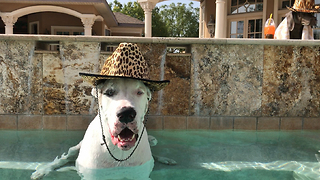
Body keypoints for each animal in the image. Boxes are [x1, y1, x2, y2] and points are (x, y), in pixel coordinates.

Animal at [31, 78, 175, 179]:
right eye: (109, 92)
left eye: (139, 92)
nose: (126, 113)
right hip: (75, 148)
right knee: (63, 158)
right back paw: (43, 170)